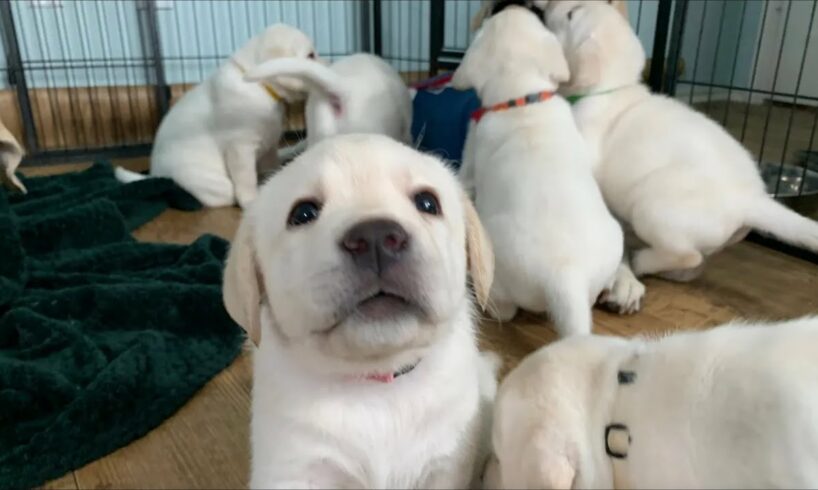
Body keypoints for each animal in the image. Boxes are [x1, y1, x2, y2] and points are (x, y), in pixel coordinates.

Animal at [223, 132, 500, 488]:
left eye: (428, 203)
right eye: (303, 214)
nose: (376, 237)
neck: (376, 385)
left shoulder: (445, 464)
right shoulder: (293, 467)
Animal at [544, 1, 816, 290]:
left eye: (572, 14)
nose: (548, 4)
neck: (611, 87)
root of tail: (752, 200)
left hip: (652, 207)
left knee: (686, 255)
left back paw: (642, 261)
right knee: (694, 263)